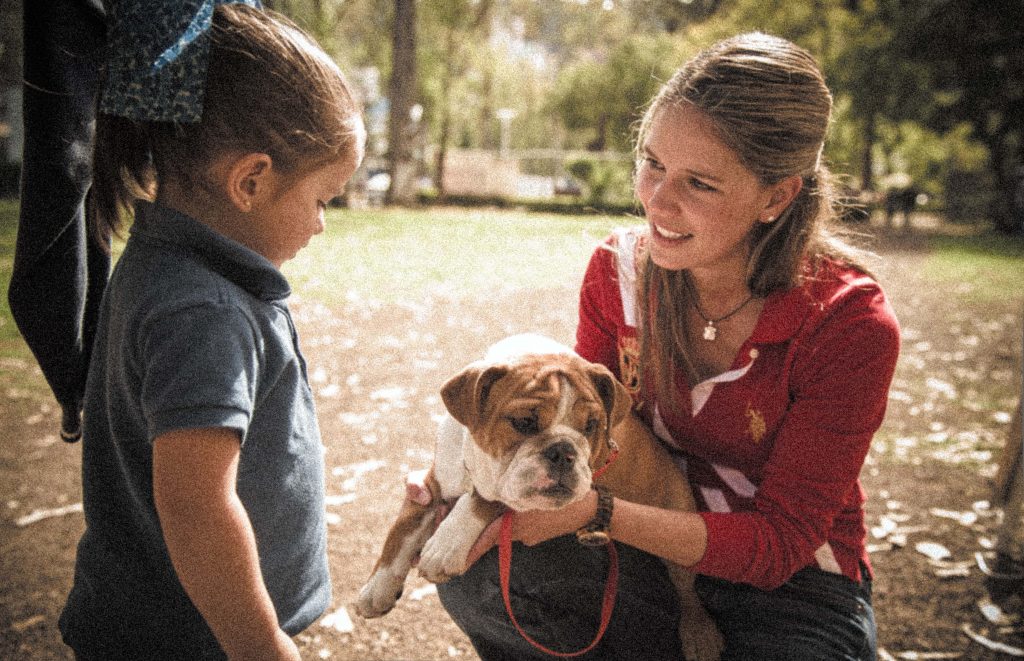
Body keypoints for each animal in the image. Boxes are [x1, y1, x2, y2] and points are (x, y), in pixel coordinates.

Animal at [356, 337, 724, 661]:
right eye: (523, 421)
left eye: (592, 425)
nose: (563, 451)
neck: (476, 464)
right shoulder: (432, 487)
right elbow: (401, 532)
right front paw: (377, 588)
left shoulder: (511, 493)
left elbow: (481, 501)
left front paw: (446, 546)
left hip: (678, 521)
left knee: (687, 592)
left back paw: (699, 635)